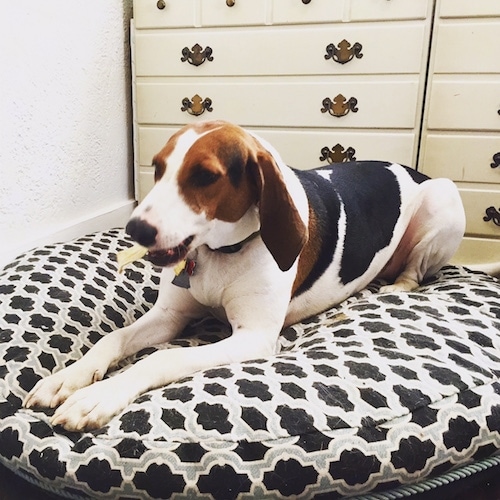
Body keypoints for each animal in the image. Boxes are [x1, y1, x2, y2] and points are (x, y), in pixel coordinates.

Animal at [25, 120, 466, 430]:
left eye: (205, 176)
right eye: (158, 168)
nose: (135, 229)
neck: (219, 253)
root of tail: (413, 170)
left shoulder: (252, 338)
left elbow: (161, 358)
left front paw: (98, 397)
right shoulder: (169, 316)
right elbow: (113, 338)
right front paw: (68, 379)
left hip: (443, 198)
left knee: (412, 276)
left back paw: (387, 291)